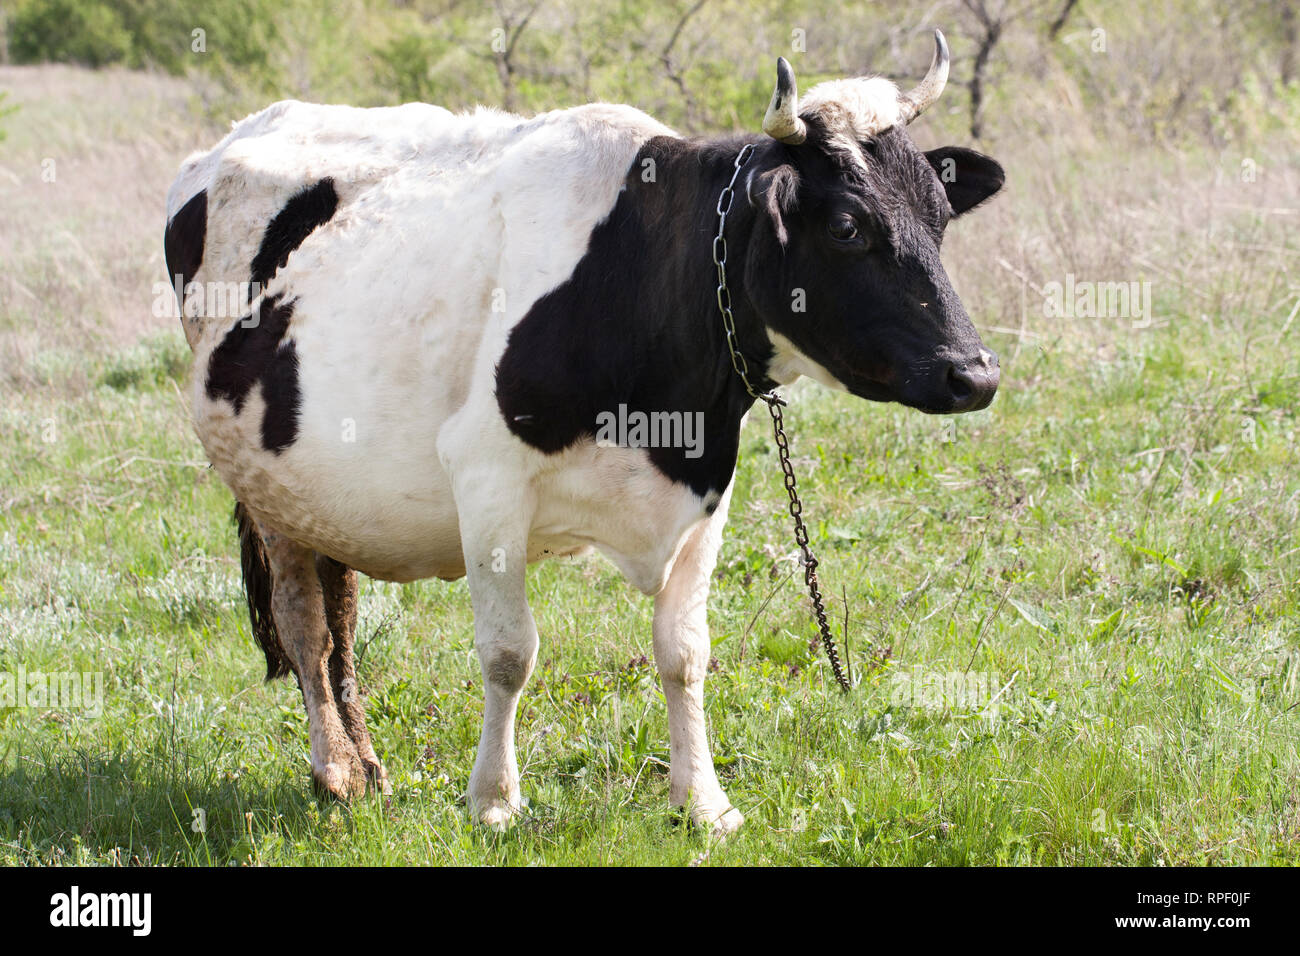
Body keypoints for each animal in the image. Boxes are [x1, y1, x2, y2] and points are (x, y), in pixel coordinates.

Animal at [163, 30, 1003, 833]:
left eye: (938, 214)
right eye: (847, 225)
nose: (975, 374)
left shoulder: (708, 491)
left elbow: (685, 654)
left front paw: (703, 803)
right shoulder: (488, 478)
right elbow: (510, 652)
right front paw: (494, 801)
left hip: (319, 487)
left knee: (339, 615)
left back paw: (366, 767)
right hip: (265, 484)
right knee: (304, 622)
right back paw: (335, 770)